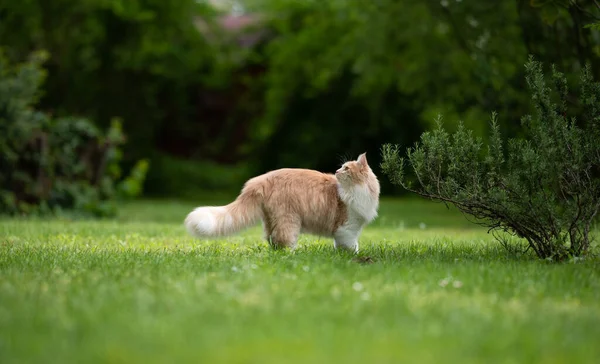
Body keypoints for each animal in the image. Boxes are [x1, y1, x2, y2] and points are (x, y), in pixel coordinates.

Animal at [184, 152, 380, 252]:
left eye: (345, 168)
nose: (337, 171)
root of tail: (260, 179)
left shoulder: (345, 231)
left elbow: (340, 245)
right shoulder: (347, 227)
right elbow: (351, 245)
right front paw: (352, 258)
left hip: (272, 218)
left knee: (271, 239)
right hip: (289, 218)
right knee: (283, 239)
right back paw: (291, 255)